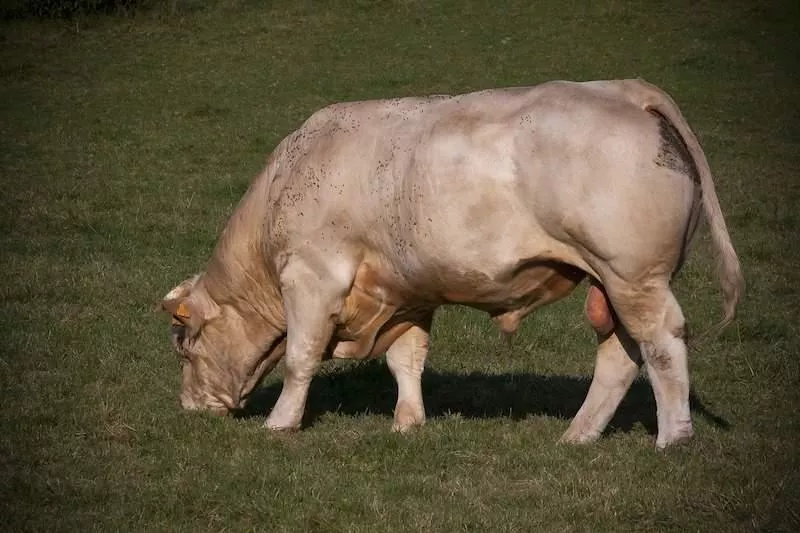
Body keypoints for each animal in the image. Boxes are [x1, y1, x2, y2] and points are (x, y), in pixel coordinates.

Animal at [162, 79, 744, 446]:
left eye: (184, 344)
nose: (189, 409)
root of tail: (622, 90)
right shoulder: (406, 292)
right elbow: (406, 359)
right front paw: (408, 422)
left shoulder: (313, 276)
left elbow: (299, 357)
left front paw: (281, 423)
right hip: (613, 284)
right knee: (621, 356)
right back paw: (578, 435)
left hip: (634, 277)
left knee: (661, 345)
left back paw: (672, 438)